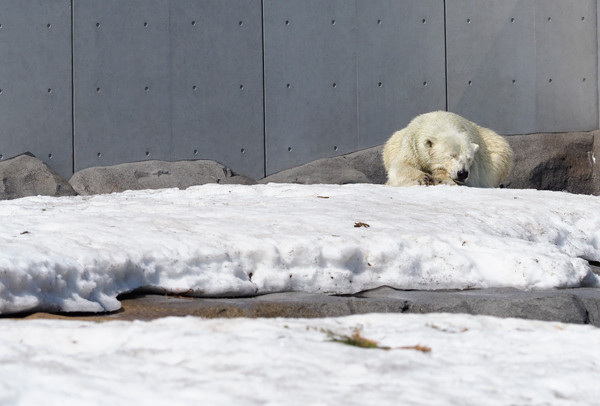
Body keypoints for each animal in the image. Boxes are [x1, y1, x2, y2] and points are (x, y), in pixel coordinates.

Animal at [382, 111, 512, 187]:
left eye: (469, 158)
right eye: (452, 155)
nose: (462, 173)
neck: (440, 121)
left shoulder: (476, 163)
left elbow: (473, 181)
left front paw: (441, 178)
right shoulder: (412, 144)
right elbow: (401, 166)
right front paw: (424, 177)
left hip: (497, 149)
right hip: (392, 144)